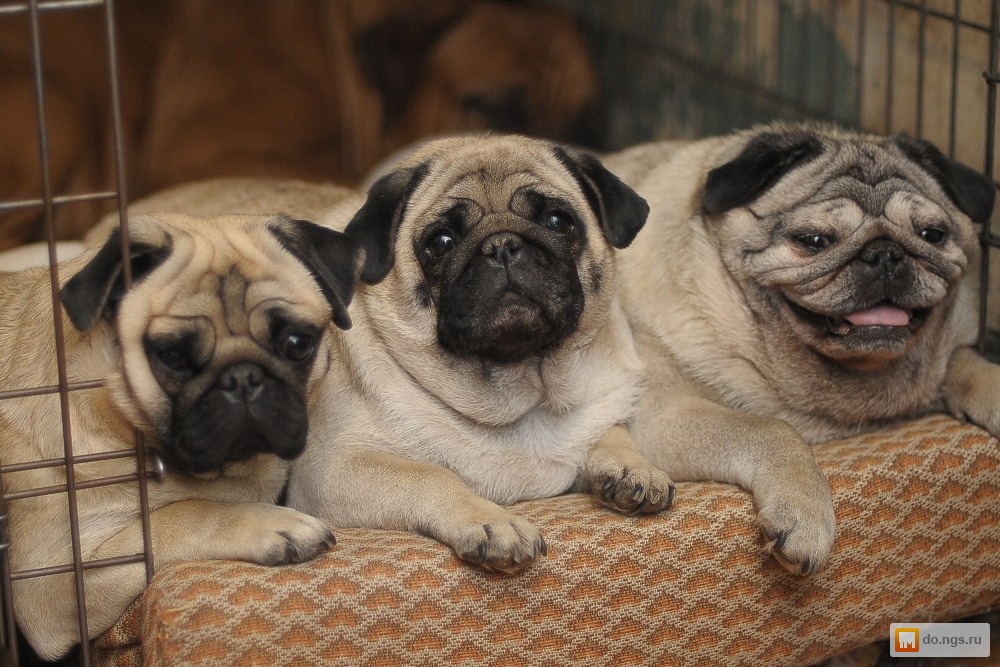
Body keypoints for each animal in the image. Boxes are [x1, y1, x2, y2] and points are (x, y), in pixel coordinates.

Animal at [286, 134, 676, 576]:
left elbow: (611, 432)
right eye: (440, 242)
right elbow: (431, 476)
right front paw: (491, 521)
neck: (525, 397)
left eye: (558, 222)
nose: (502, 245)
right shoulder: (330, 470)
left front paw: (633, 466)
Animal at [600, 122, 1000, 576]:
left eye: (932, 235)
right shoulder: (668, 415)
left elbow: (965, 361)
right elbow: (775, 429)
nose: (884, 253)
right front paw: (805, 513)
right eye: (813, 240)